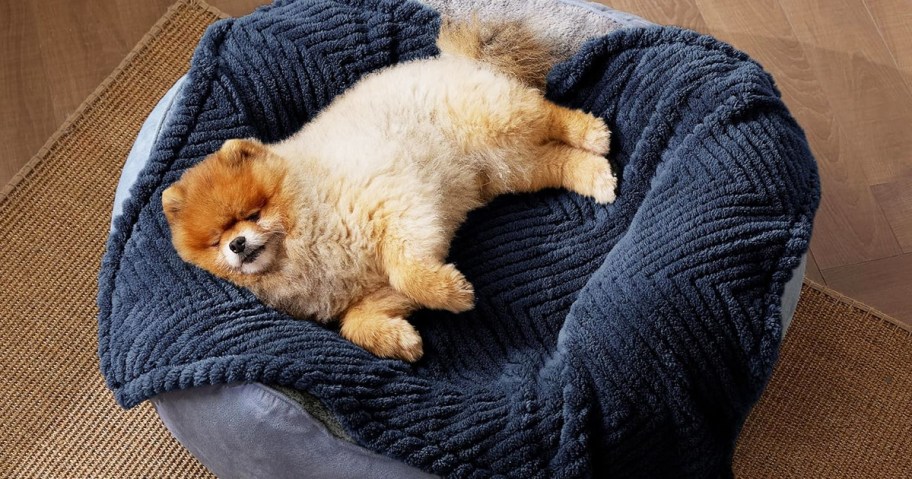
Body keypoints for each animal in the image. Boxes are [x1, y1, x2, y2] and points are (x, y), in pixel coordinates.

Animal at [160, 20, 616, 362]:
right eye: (215, 241)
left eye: (253, 214)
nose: (237, 244)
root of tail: (452, 59)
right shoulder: (371, 288)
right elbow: (356, 321)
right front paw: (398, 340)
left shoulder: (399, 207)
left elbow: (407, 271)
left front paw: (452, 294)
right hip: (510, 167)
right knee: (555, 160)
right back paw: (595, 175)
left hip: (495, 120)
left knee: (548, 113)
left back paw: (591, 132)